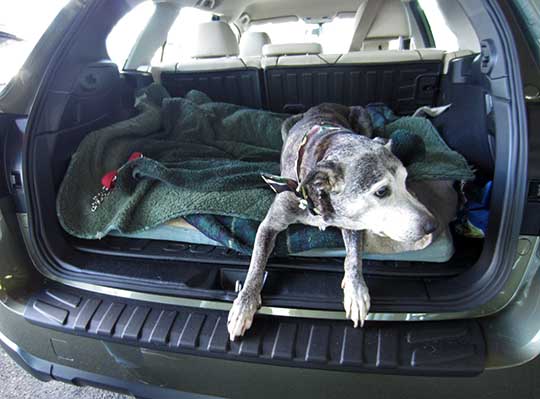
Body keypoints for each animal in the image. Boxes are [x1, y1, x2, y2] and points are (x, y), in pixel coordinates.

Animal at [227, 103, 438, 340]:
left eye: (405, 180)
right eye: (382, 191)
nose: (432, 225)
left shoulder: (353, 222)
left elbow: (354, 257)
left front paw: (356, 291)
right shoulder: (269, 225)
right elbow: (256, 264)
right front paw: (244, 305)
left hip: (362, 116)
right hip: (285, 125)